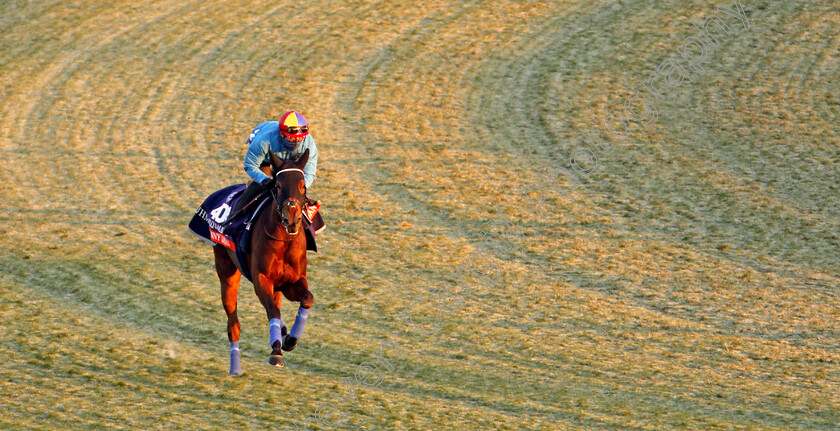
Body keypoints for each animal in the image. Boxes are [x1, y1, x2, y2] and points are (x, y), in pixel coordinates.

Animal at [212, 148, 314, 374]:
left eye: (302, 185)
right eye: (278, 186)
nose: (292, 218)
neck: (284, 240)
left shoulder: (292, 282)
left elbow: (307, 298)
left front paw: (290, 340)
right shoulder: (261, 279)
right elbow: (272, 310)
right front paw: (276, 351)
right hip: (226, 272)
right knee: (233, 325)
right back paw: (235, 368)